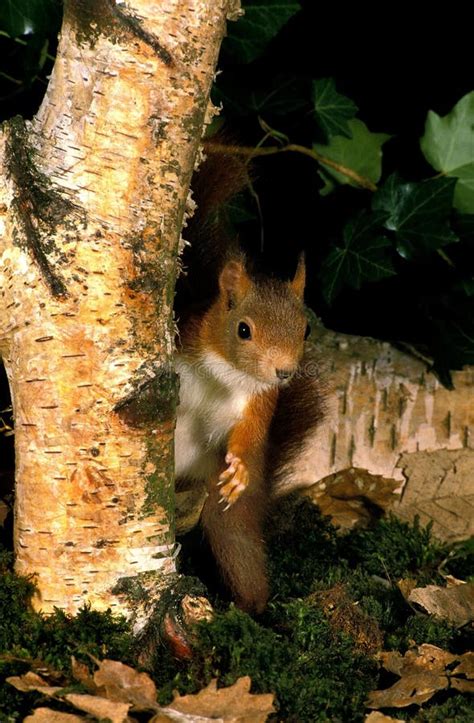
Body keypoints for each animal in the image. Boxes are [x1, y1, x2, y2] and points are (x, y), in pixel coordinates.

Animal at [175, 148, 326, 616]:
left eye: (306, 329)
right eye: (243, 330)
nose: (285, 372)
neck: (228, 372)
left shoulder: (261, 401)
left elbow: (249, 433)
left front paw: (239, 466)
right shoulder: (186, 348)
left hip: (229, 515)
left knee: (241, 556)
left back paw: (252, 610)